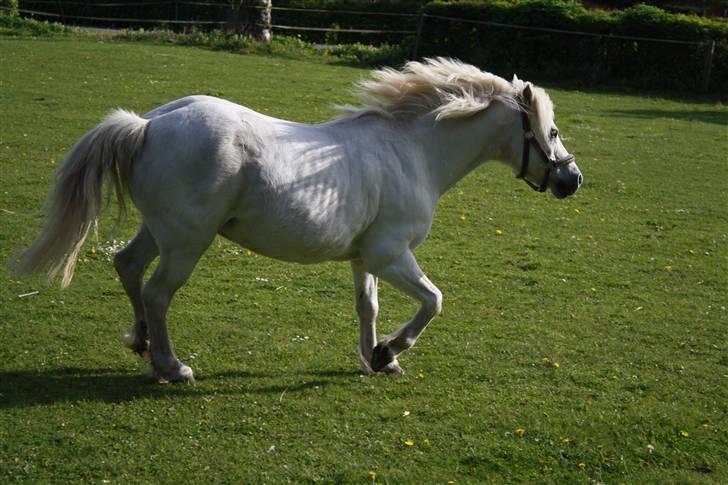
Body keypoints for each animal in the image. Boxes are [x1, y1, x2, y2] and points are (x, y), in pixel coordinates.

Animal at [14, 58, 583, 383]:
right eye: (551, 132)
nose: (571, 180)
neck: (413, 152)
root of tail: (148, 124)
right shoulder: (391, 254)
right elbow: (433, 302)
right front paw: (389, 351)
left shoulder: (365, 257)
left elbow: (368, 307)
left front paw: (375, 358)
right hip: (187, 241)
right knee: (157, 292)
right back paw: (171, 367)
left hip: (160, 231)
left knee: (129, 268)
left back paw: (141, 344)